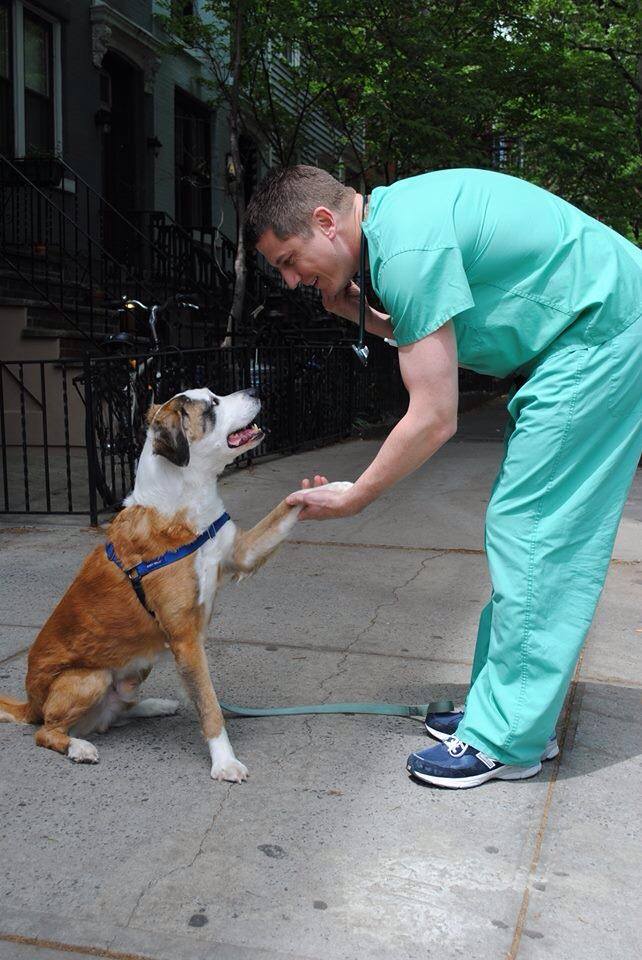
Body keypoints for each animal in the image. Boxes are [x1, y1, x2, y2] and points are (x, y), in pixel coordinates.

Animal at [0, 386, 350, 784]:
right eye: (212, 405)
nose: (254, 389)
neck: (185, 501)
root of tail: (31, 703)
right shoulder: (185, 638)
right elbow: (209, 704)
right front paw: (224, 761)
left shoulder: (241, 554)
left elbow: (282, 510)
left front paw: (332, 490)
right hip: (89, 678)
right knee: (47, 732)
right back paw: (79, 747)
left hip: (140, 660)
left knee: (116, 711)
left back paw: (155, 705)